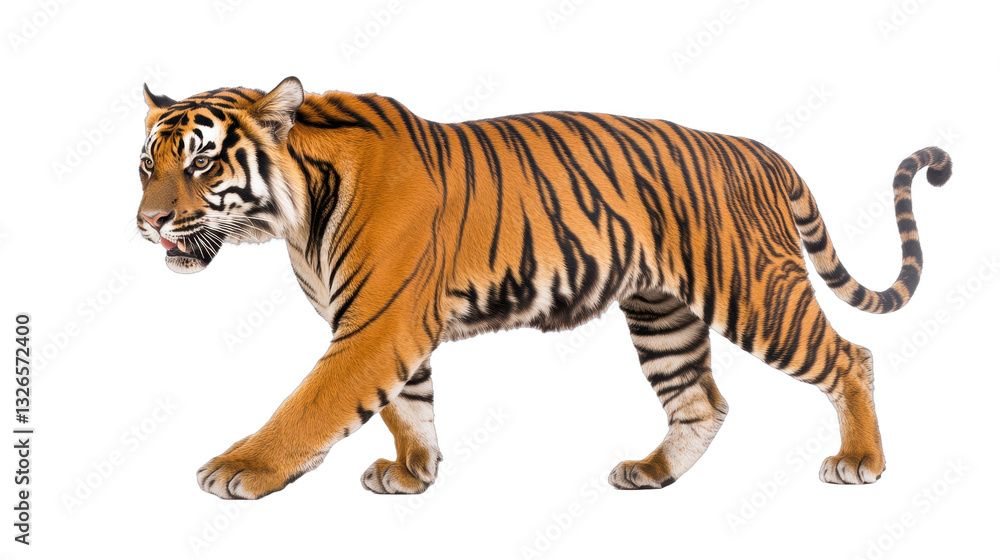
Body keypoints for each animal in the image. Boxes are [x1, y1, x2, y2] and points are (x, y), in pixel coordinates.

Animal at [135, 77, 952, 499]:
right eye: (149, 164)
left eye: (203, 162)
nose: (148, 223)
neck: (293, 214)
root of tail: (760, 150)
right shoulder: (385, 327)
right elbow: (409, 406)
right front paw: (415, 474)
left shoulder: (375, 326)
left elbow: (311, 406)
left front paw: (242, 467)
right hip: (662, 314)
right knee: (701, 401)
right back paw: (652, 473)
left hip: (755, 291)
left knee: (849, 358)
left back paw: (862, 462)